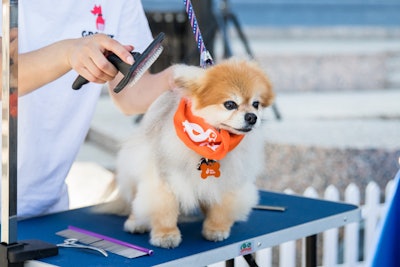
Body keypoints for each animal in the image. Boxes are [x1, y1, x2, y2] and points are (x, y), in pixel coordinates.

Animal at [102, 58, 276, 249]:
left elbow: (222, 208)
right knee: (135, 201)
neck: (211, 142)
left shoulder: (228, 179)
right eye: (230, 104)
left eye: (256, 104)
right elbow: (165, 209)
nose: (252, 117)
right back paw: (135, 222)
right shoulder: (165, 179)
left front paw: (216, 228)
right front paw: (166, 234)